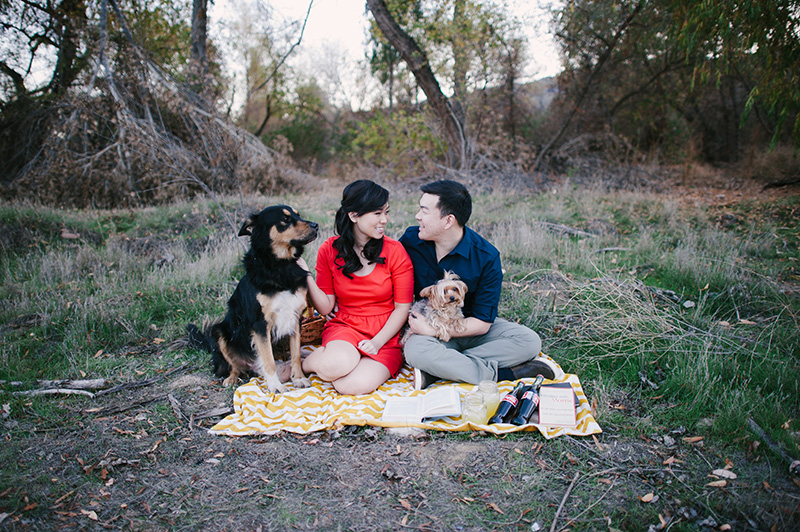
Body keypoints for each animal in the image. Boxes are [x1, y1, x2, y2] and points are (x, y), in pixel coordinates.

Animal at [189, 206, 320, 392]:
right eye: (285, 219)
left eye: (298, 215)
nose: (316, 225)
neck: (281, 266)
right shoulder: (260, 324)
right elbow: (268, 359)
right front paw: (275, 386)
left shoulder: (295, 317)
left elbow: (295, 354)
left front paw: (299, 378)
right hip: (220, 332)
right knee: (233, 366)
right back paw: (231, 378)